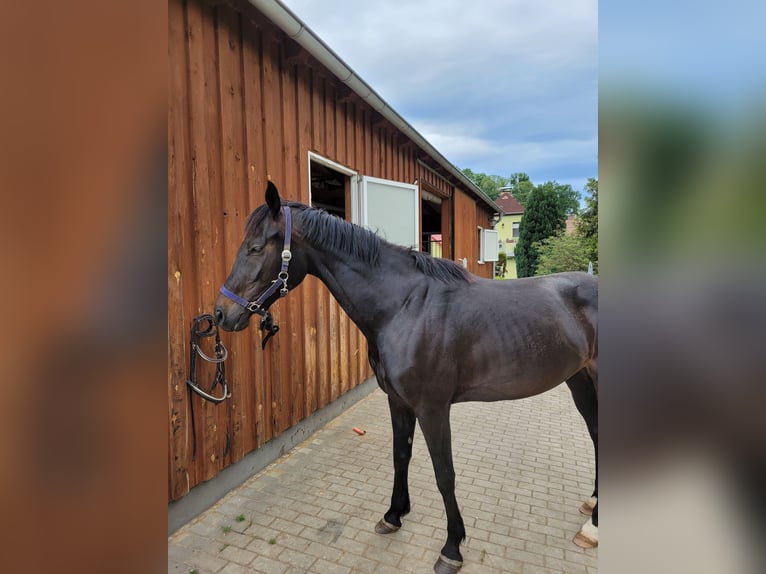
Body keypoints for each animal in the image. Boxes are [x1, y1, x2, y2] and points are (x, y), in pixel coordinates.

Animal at [214, 182, 600, 572]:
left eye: (255, 248)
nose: (220, 313)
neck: (404, 306)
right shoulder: (398, 401)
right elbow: (401, 456)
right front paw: (393, 515)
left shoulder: (433, 409)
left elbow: (445, 474)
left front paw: (452, 547)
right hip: (580, 380)